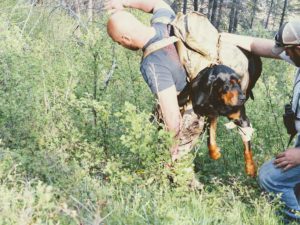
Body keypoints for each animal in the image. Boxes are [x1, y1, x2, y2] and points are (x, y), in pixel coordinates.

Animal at [178, 48, 262, 176]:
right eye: (227, 85)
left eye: (239, 82)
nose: (242, 98)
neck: (219, 101)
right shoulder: (211, 115)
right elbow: (210, 139)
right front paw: (215, 153)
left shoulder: (243, 120)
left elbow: (247, 147)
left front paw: (251, 168)